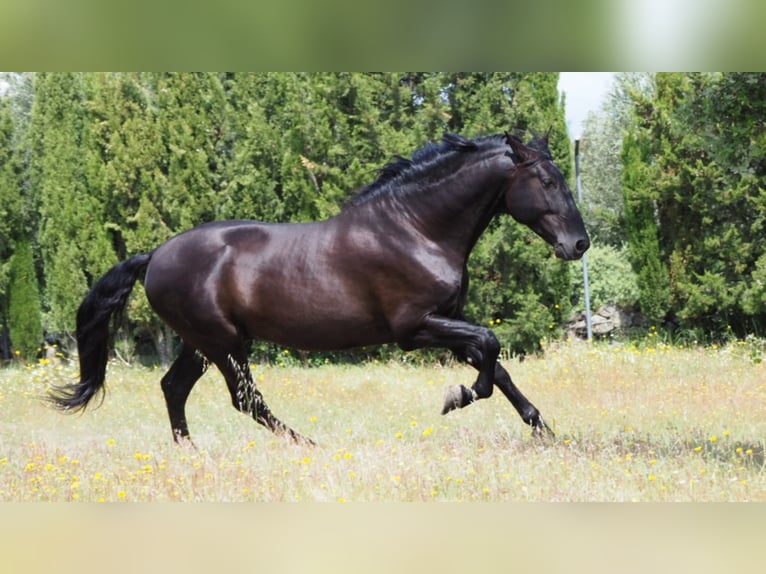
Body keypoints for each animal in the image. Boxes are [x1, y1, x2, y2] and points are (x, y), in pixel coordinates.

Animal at [51, 132, 592, 446]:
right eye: (547, 180)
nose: (579, 243)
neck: (415, 229)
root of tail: (156, 255)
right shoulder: (415, 329)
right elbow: (490, 348)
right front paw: (457, 397)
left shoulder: (446, 324)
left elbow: (497, 365)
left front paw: (544, 430)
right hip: (222, 344)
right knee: (246, 400)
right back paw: (308, 445)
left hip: (204, 343)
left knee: (174, 388)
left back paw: (191, 453)